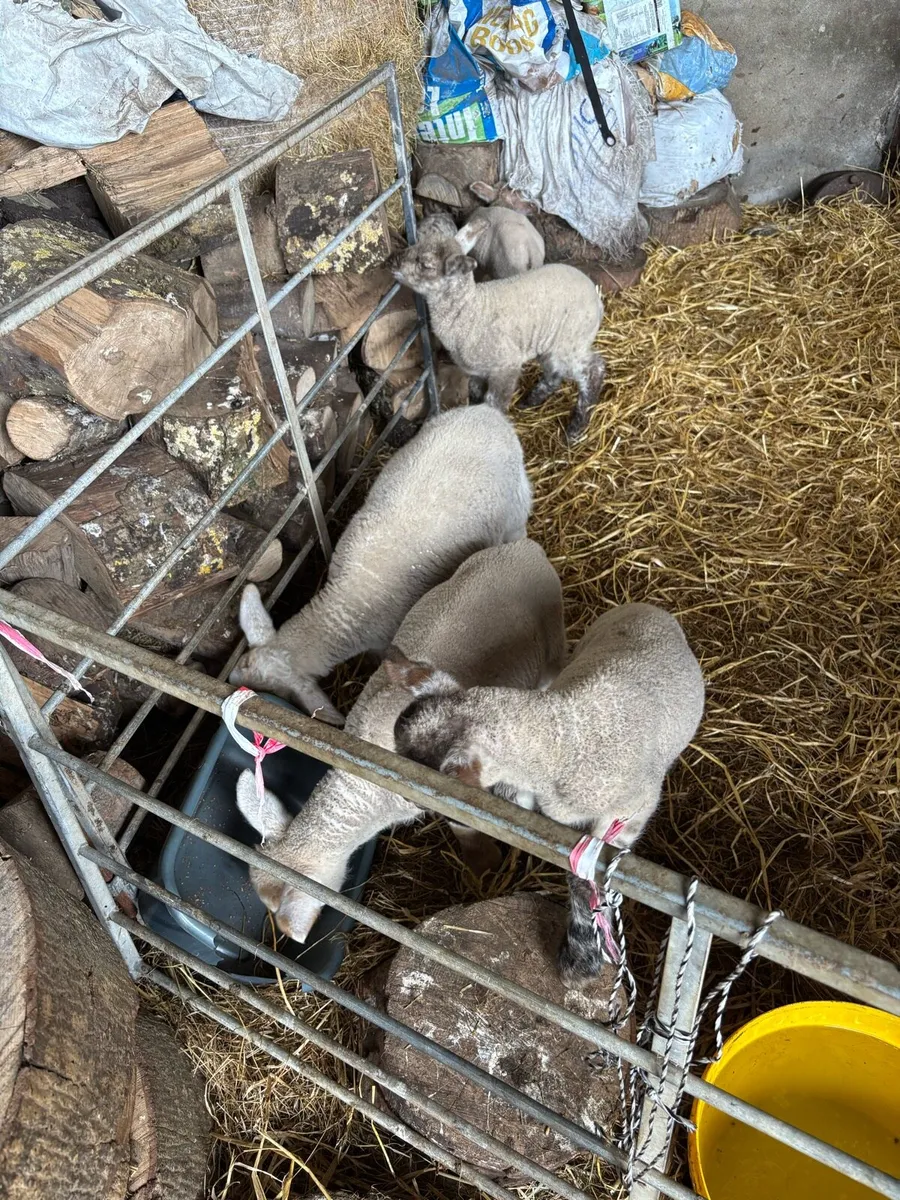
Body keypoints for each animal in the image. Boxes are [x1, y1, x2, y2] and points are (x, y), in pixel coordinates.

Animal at [388, 603, 705, 984]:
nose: (406, 800)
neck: (563, 733)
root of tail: (650, 607)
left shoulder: (627, 816)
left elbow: (584, 879)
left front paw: (581, 959)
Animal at [394, 224, 606, 441]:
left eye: (425, 264)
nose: (395, 260)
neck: (470, 312)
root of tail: (597, 300)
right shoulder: (476, 370)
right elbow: (475, 392)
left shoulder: (505, 365)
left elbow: (494, 403)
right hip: (550, 344)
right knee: (555, 373)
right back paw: (530, 401)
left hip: (571, 341)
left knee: (594, 370)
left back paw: (575, 428)